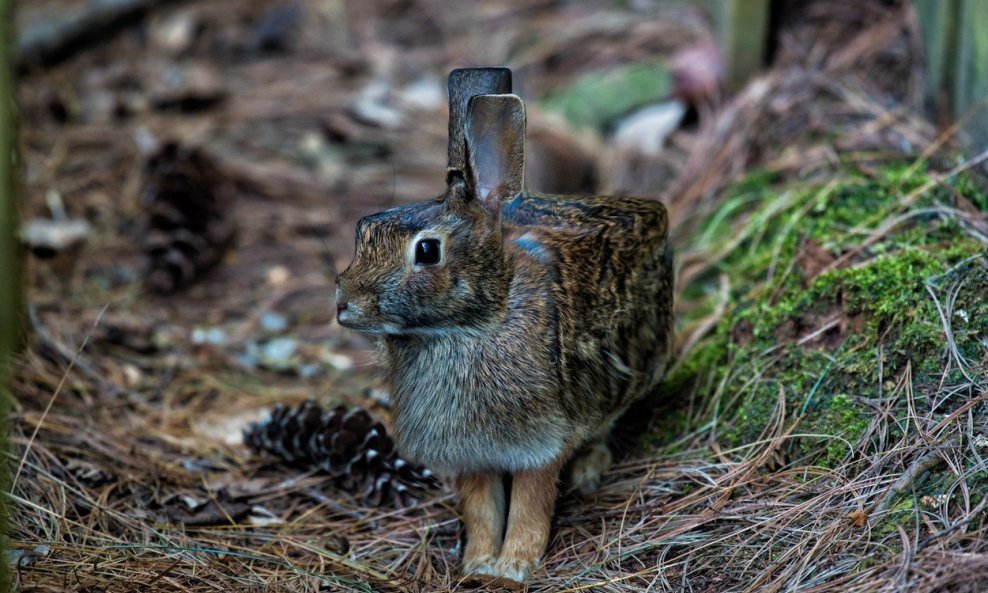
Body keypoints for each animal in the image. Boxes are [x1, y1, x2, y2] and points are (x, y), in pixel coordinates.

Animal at [336, 67, 676, 584]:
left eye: (427, 250)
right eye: (361, 231)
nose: (344, 304)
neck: (471, 324)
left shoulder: (542, 440)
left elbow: (530, 504)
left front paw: (513, 567)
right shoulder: (471, 455)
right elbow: (481, 508)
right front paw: (478, 564)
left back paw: (588, 471)